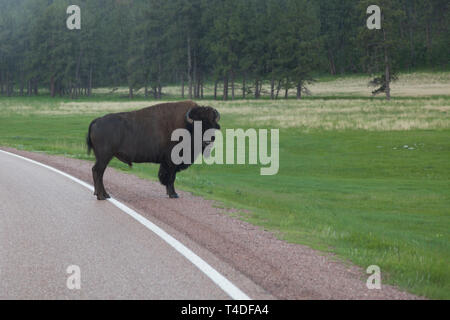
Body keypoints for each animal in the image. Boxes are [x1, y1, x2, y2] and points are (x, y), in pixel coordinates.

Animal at [85, 100, 220, 200]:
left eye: (212, 124)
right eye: (199, 124)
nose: (209, 140)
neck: (186, 125)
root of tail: (97, 121)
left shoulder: (166, 162)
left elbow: (167, 176)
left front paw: (170, 193)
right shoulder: (171, 161)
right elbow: (171, 177)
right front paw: (174, 194)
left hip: (103, 157)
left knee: (98, 172)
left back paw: (103, 194)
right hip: (104, 157)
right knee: (98, 171)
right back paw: (102, 196)